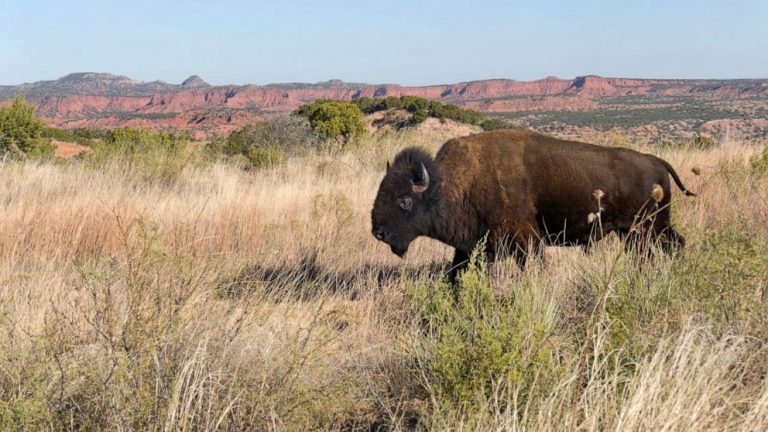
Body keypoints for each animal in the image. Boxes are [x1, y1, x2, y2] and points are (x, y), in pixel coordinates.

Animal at [370, 129, 696, 280]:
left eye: (404, 200)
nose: (378, 232)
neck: (453, 184)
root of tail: (656, 161)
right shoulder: (469, 247)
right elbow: (456, 274)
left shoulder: (526, 242)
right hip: (639, 232)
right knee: (672, 245)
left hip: (647, 229)